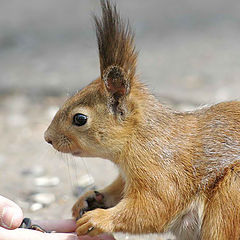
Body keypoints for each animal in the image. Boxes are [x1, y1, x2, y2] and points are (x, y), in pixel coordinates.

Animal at [44, 0, 240, 239]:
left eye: (80, 118)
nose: (48, 138)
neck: (139, 138)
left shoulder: (161, 170)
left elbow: (155, 206)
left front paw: (99, 218)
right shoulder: (126, 176)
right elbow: (118, 191)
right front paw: (88, 198)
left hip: (230, 196)